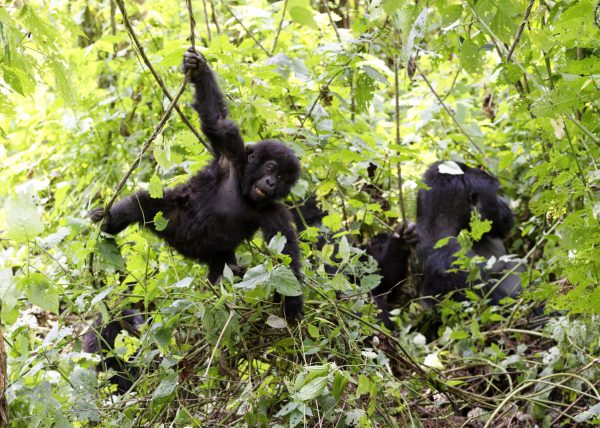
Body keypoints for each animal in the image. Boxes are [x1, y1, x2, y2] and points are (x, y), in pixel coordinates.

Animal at [84, 47, 304, 392]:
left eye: (282, 178)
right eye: (270, 168)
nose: (270, 183)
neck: (244, 191)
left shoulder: (274, 210)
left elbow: (284, 251)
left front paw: (291, 306)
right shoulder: (232, 155)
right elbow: (218, 123)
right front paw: (198, 70)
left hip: (217, 261)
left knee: (225, 275)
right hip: (170, 217)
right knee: (142, 205)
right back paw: (108, 222)